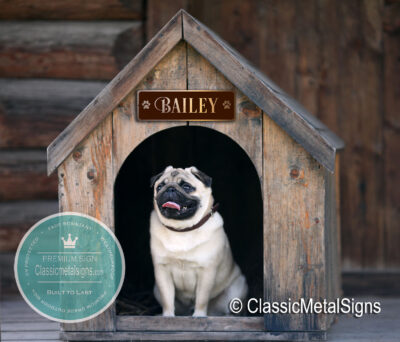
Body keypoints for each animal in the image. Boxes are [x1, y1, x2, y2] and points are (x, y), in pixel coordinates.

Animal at [149, 167, 247, 316]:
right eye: (159, 187)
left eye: (186, 187)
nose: (170, 188)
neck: (183, 230)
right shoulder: (162, 271)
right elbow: (167, 299)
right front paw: (168, 316)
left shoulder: (206, 271)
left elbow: (202, 298)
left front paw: (199, 316)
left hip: (238, 288)